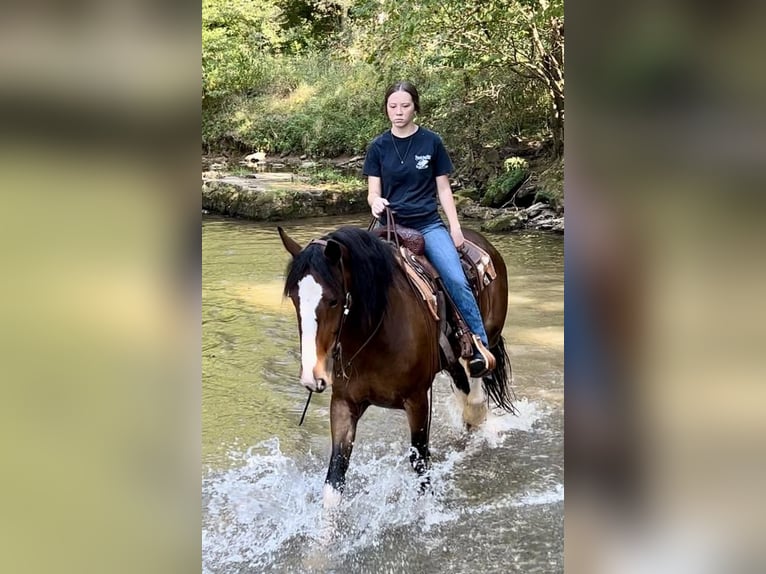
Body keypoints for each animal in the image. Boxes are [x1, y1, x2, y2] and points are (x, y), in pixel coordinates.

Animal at [280, 225, 512, 508]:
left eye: (333, 300)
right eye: (295, 298)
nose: (312, 376)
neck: (375, 332)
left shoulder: (418, 400)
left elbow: (420, 461)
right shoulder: (344, 402)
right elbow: (336, 474)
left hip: (489, 333)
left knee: (477, 375)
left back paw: (476, 410)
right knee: (461, 382)